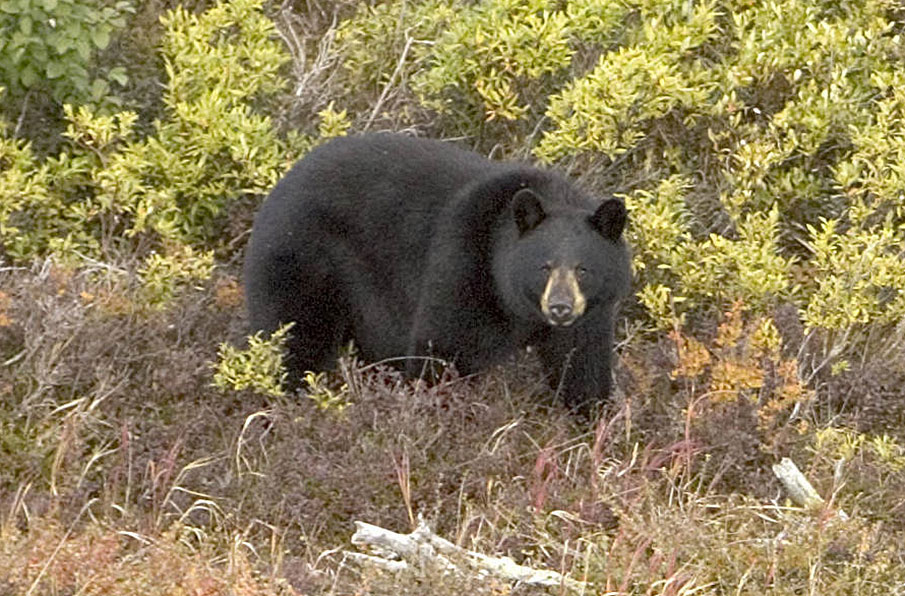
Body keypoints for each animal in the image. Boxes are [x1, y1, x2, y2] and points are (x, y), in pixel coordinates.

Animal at [243, 133, 631, 413]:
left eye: (583, 268)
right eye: (544, 266)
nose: (560, 307)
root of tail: (277, 189)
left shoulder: (591, 315)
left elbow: (582, 366)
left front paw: (590, 422)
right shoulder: (462, 264)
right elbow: (443, 347)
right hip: (303, 260)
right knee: (296, 337)